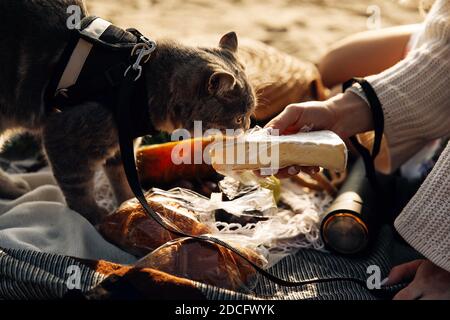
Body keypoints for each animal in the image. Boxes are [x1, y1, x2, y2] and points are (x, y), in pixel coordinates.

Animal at [0, 1, 255, 224]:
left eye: (250, 114)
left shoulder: (123, 146)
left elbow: (123, 181)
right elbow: (78, 190)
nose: (247, 127)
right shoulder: (63, 137)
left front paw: (130, 205)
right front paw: (94, 217)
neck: (141, 83)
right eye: (239, 118)